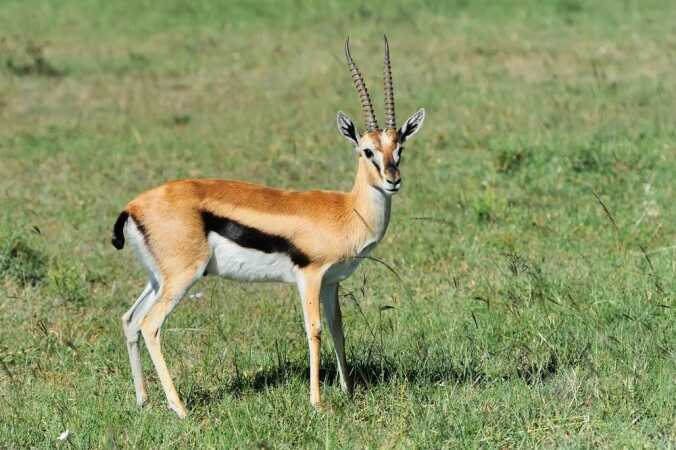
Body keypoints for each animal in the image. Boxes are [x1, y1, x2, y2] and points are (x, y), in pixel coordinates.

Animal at [112, 36, 425, 418]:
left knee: (130, 320)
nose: (393, 180)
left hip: (158, 280)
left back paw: (143, 401)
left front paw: (348, 391)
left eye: (400, 147)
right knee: (150, 325)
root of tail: (132, 207)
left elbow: (338, 328)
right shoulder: (310, 276)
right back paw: (180, 408)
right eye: (367, 151)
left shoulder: (331, 282)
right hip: (182, 278)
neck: (347, 210)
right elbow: (314, 330)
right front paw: (317, 403)